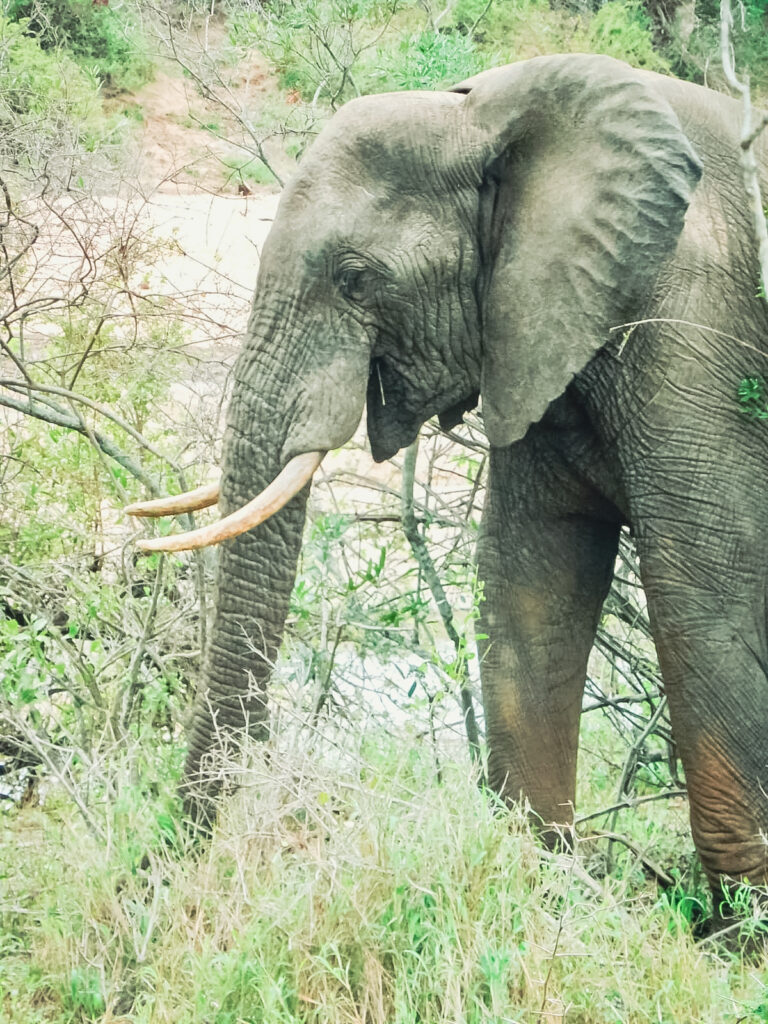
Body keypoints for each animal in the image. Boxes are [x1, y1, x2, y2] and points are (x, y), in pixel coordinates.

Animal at [127, 53, 768, 898]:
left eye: (356, 279)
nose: (156, 873)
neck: (489, 117)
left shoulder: (700, 331)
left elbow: (706, 590)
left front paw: (739, 920)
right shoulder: (536, 326)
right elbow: (531, 577)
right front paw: (541, 880)